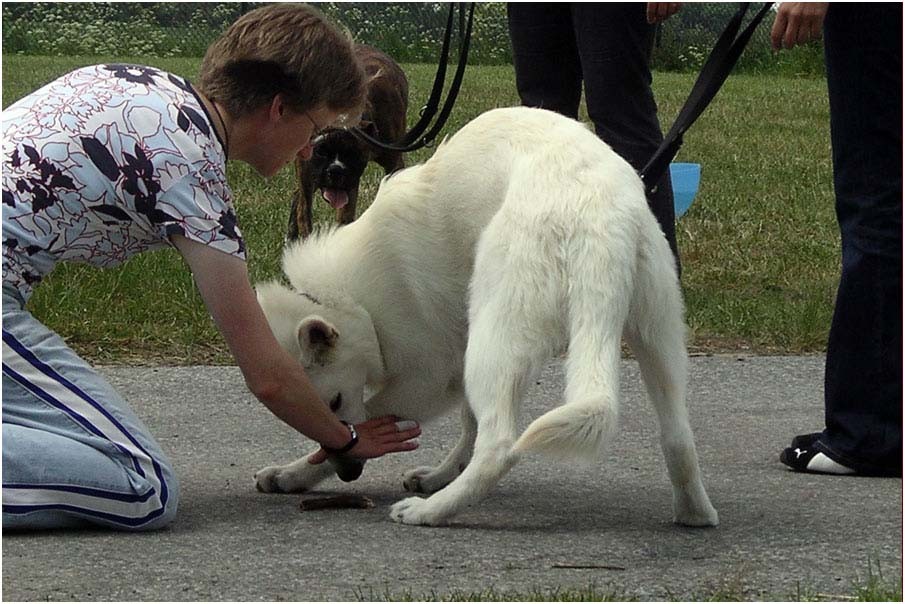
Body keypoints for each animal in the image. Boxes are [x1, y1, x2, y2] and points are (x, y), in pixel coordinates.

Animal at [256, 106, 720, 528]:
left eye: (333, 401)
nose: (351, 472)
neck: (348, 301)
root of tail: (596, 215)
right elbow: (468, 424)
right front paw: (438, 473)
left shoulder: (428, 378)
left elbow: (374, 417)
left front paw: (296, 472)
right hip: (657, 341)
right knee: (678, 437)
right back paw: (695, 514)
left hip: (493, 341)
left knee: (500, 445)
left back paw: (430, 512)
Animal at [288, 44, 408, 239]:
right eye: (321, 151)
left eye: (353, 153)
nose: (336, 171)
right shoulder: (306, 168)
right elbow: (304, 213)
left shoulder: (393, 164)